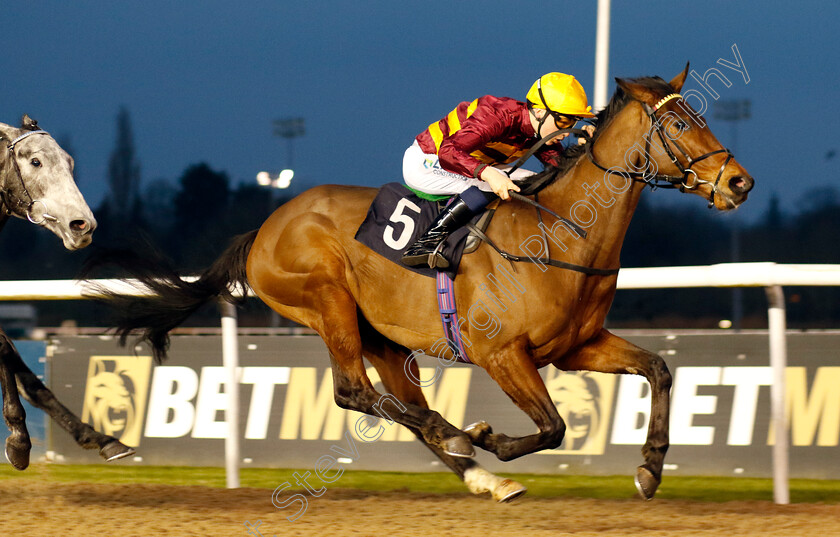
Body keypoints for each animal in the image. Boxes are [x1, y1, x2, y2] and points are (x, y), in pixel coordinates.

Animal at [0, 116, 135, 468]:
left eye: (70, 163)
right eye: (35, 161)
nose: (82, 225)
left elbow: (25, 372)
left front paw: (102, 438)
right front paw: (19, 440)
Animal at [97, 66, 756, 498]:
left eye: (700, 115)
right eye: (679, 123)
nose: (740, 182)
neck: (562, 234)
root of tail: (265, 227)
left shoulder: (576, 347)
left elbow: (659, 369)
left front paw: (650, 469)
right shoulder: (500, 353)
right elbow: (554, 426)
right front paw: (489, 435)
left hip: (385, 336)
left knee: (399, 401)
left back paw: (482, 475)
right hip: (327, 302)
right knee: (356, 393)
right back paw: (462, 438)